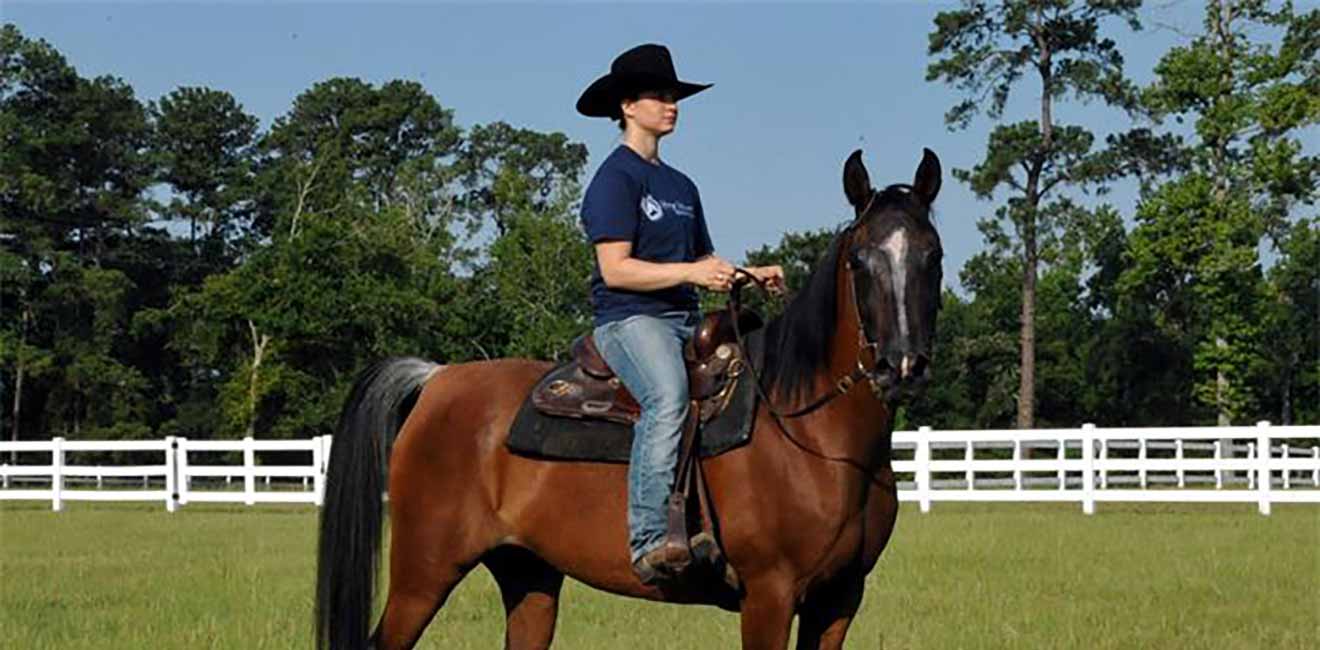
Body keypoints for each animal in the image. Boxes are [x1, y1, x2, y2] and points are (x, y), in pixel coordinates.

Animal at [314, 148, 945, 650]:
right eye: (860, 261)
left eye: (932, 256)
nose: (901, 366)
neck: (811, 435)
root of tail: (438, 379)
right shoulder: (770, 595)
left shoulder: (839, 600)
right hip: (424, 571)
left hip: (528, 574)